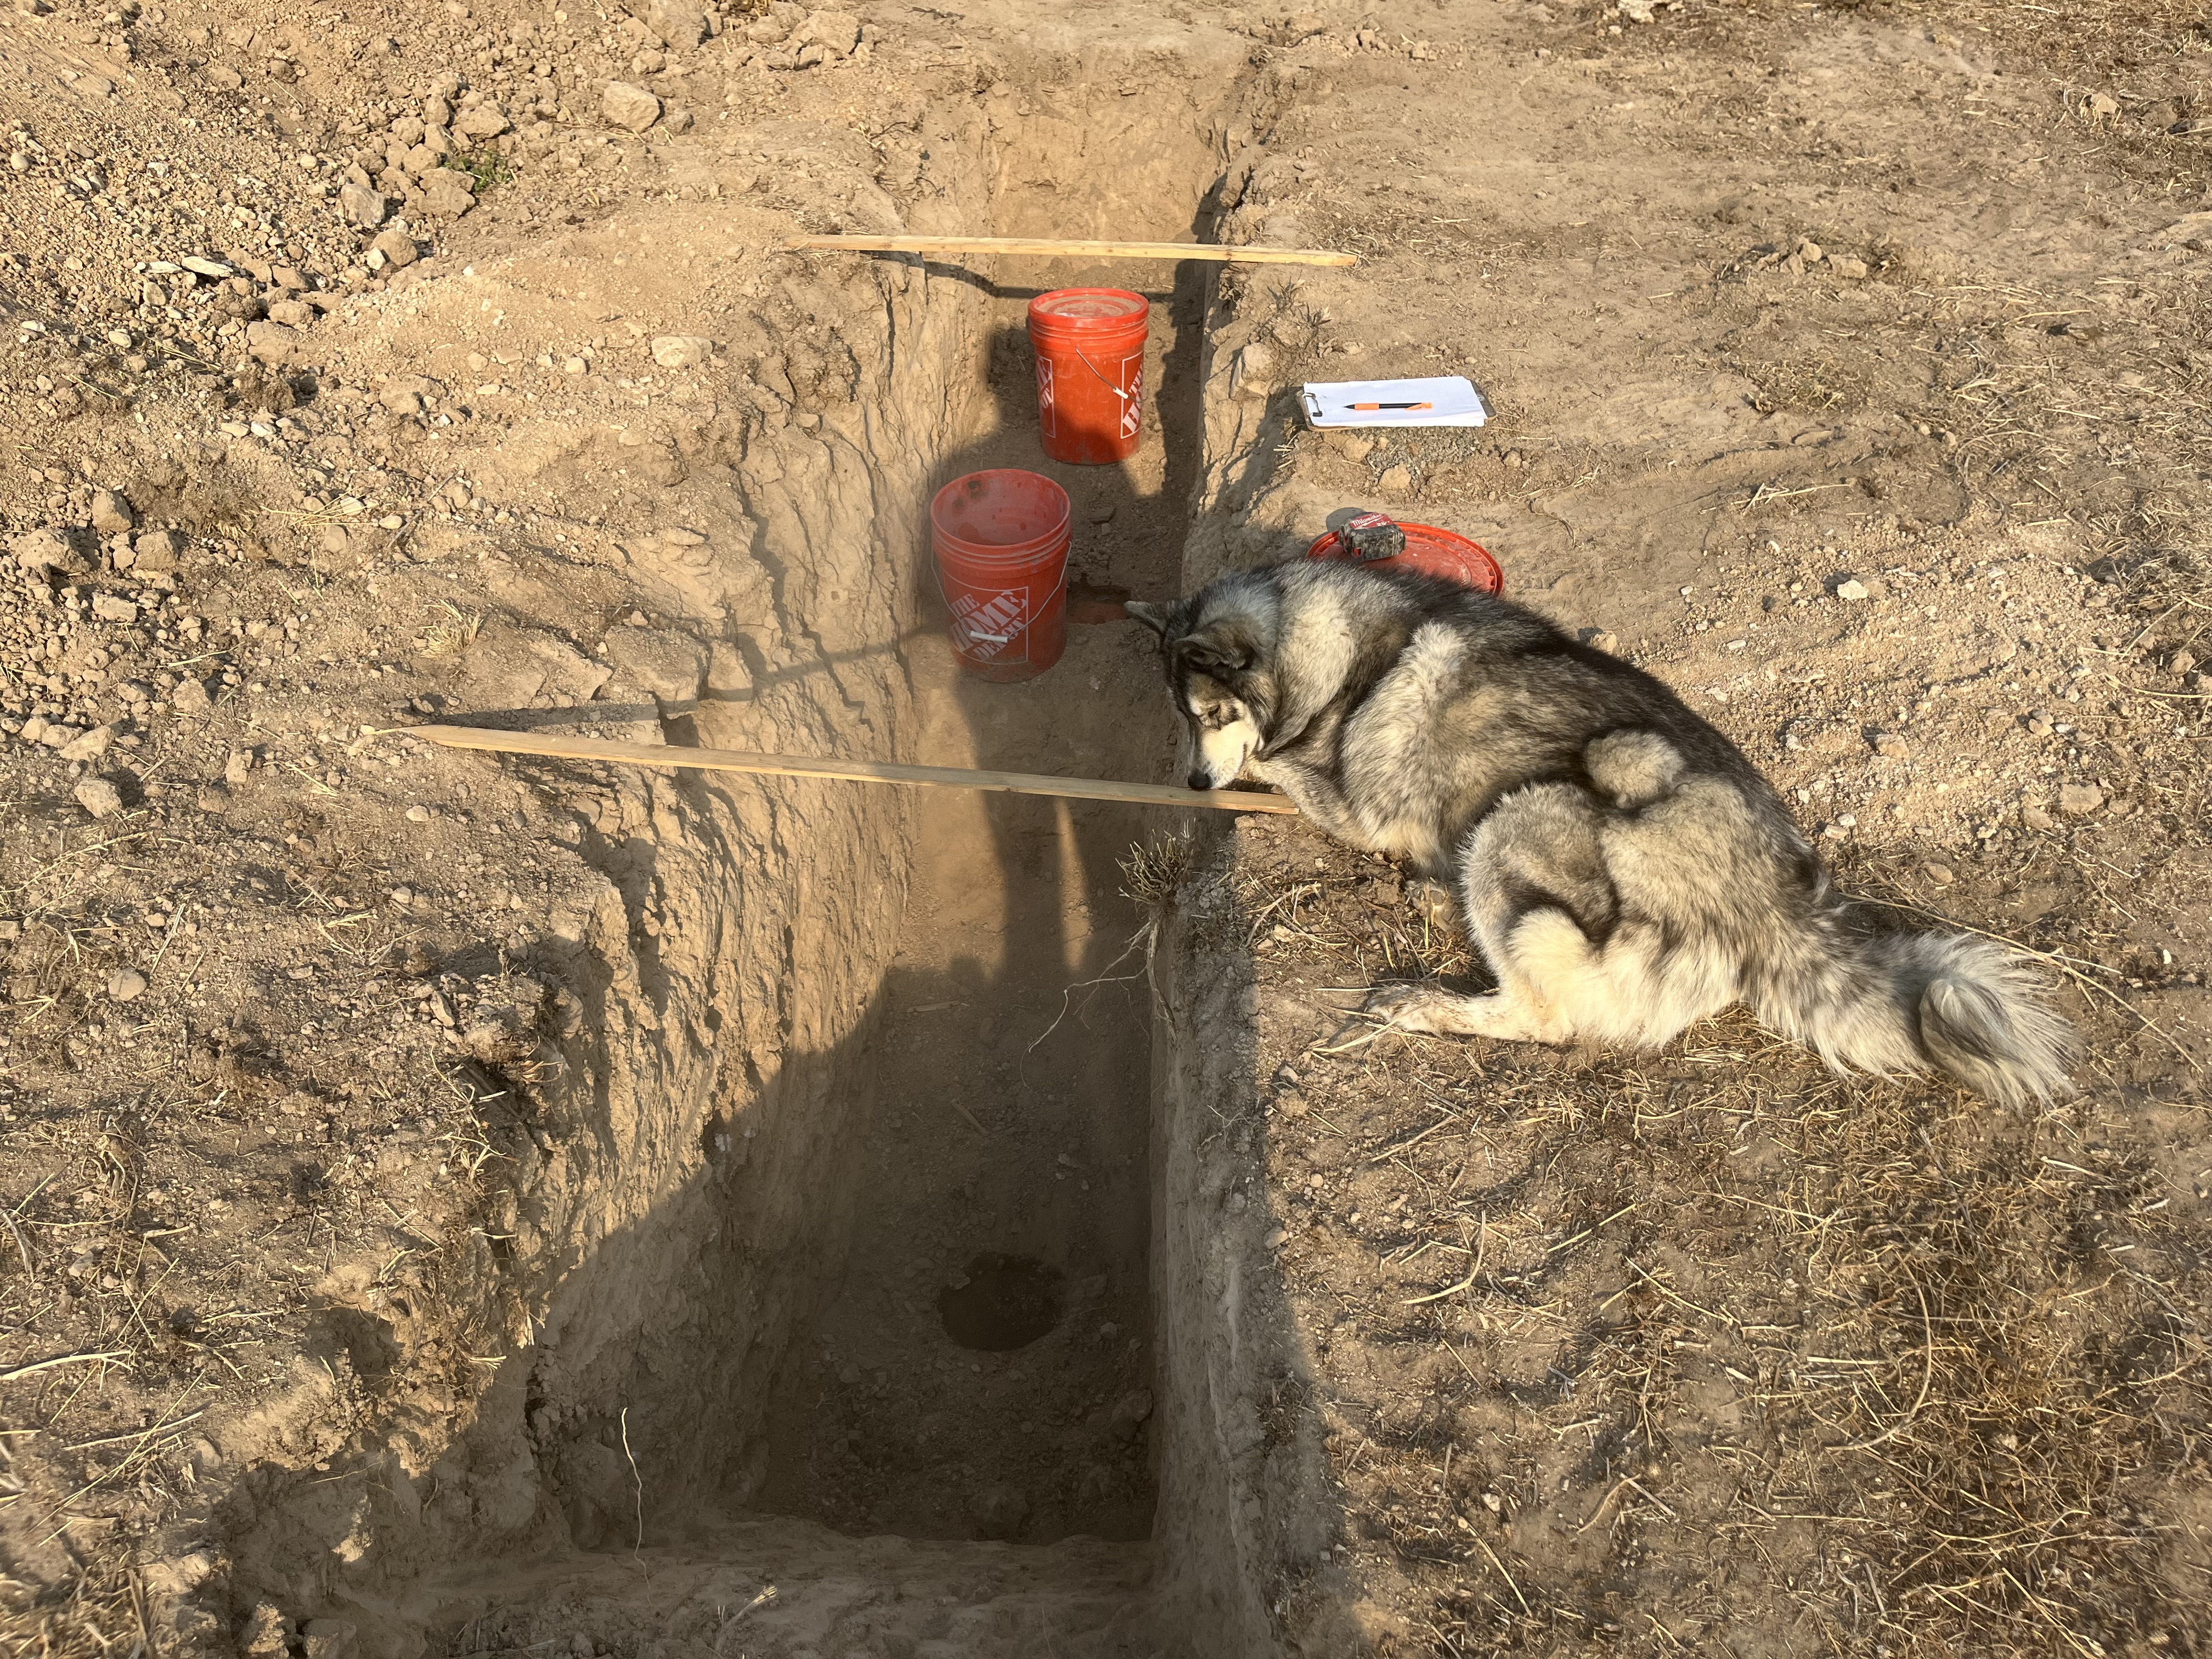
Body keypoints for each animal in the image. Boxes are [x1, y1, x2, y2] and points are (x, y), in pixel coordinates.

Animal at [1132, 562, 2079, 1119]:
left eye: (1212, 714)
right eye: (1184, 716)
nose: (1196, 786)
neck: (1331, 652)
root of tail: (1775, 910)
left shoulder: (1351, 801)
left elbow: (1287, 767)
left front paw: (1259, 769)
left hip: (1524, 818)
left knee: (1542, 1016)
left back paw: (1426, 1001)